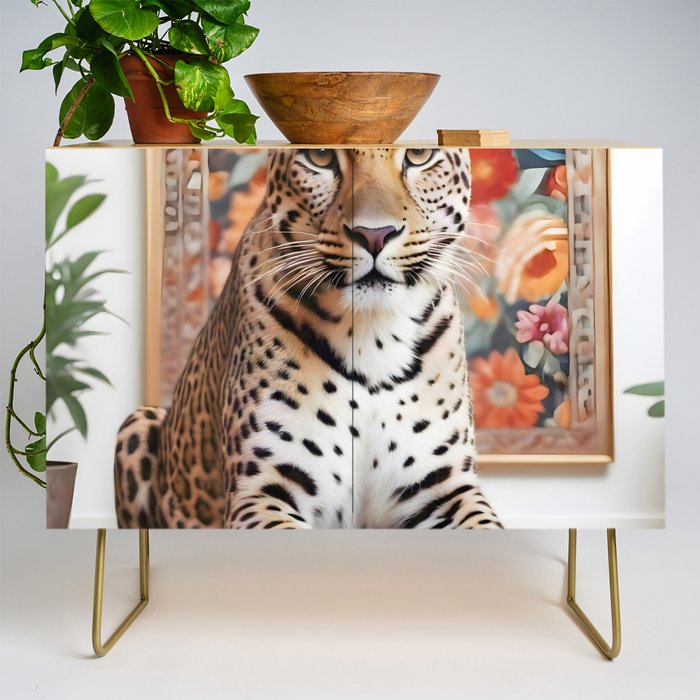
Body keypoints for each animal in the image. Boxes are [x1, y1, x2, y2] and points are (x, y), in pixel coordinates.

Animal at [114, 147, 502, 529]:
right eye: (320, 158)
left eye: (419, 155)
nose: (374, 234)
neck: (373, 335)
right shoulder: (259, 491)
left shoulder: (446, 488)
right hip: (137, 423)